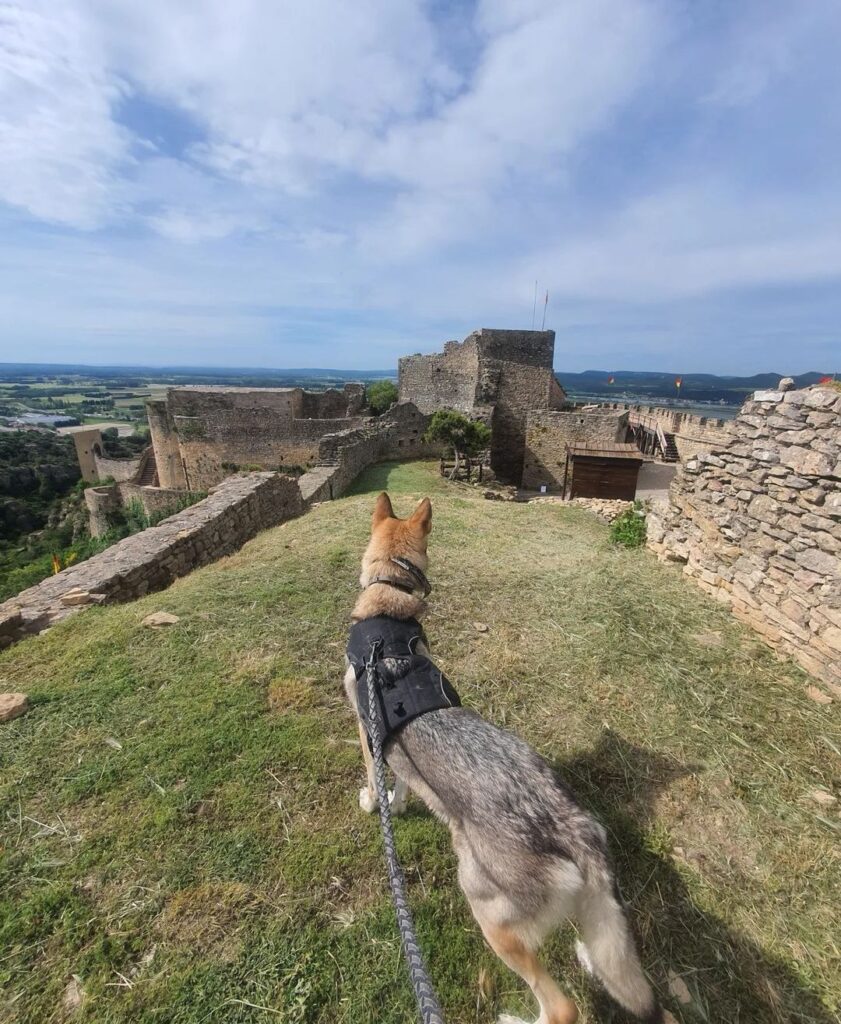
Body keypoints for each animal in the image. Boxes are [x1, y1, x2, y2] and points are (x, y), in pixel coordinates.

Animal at [342, 491, 663, 1019]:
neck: (386, 619)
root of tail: (572, 830)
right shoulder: (395, 747)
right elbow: (404, 782)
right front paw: (399, 802)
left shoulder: (366, 733)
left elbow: (375, 781)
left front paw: (374, 803)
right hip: (590, 913)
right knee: (610, 954)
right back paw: (589, 959)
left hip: (488, 916)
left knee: (562, 1007)